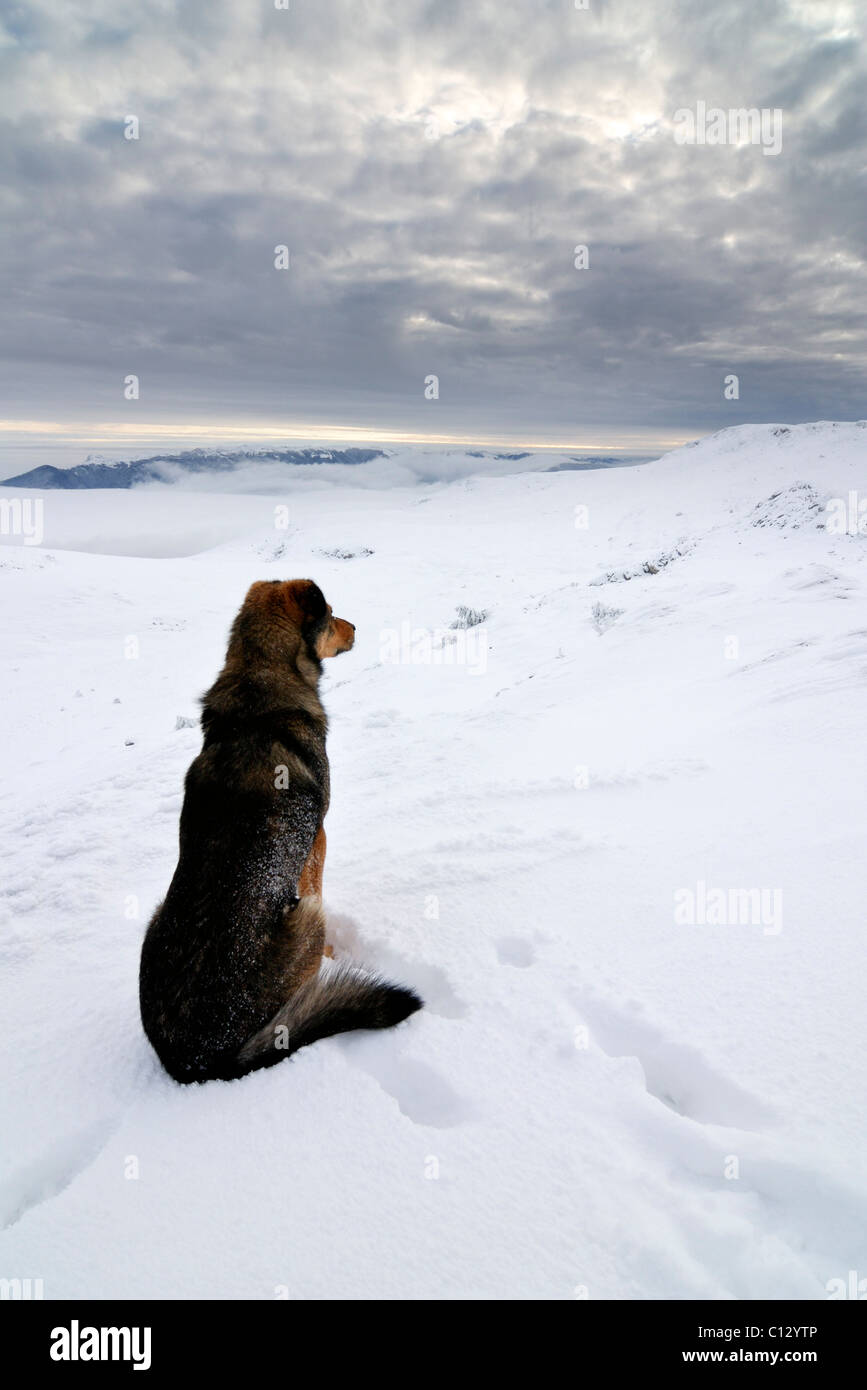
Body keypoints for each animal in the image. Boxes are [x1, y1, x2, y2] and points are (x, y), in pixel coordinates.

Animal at [139, 578, 422, 1084]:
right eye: (331, 614)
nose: (356, 627)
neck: (259, 678)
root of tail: (199, 1063)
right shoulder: (318, 840)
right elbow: (317, 881)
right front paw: (331, 956)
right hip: (305, 918)